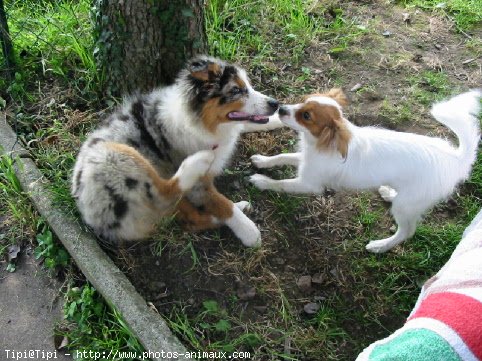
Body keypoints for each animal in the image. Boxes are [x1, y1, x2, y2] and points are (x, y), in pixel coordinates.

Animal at [250, 88, 480, 252]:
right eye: (303, 100)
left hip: (406, 207)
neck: (322, 143)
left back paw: (381, 246)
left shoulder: (309, 184)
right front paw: (262, 161)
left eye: (306, 116)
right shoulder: (306, 160)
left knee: (407, 231)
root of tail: (456, 158)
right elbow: (282, 157)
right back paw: (388, 193)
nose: (281, 108)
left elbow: (280, 184)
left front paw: (261, 181)